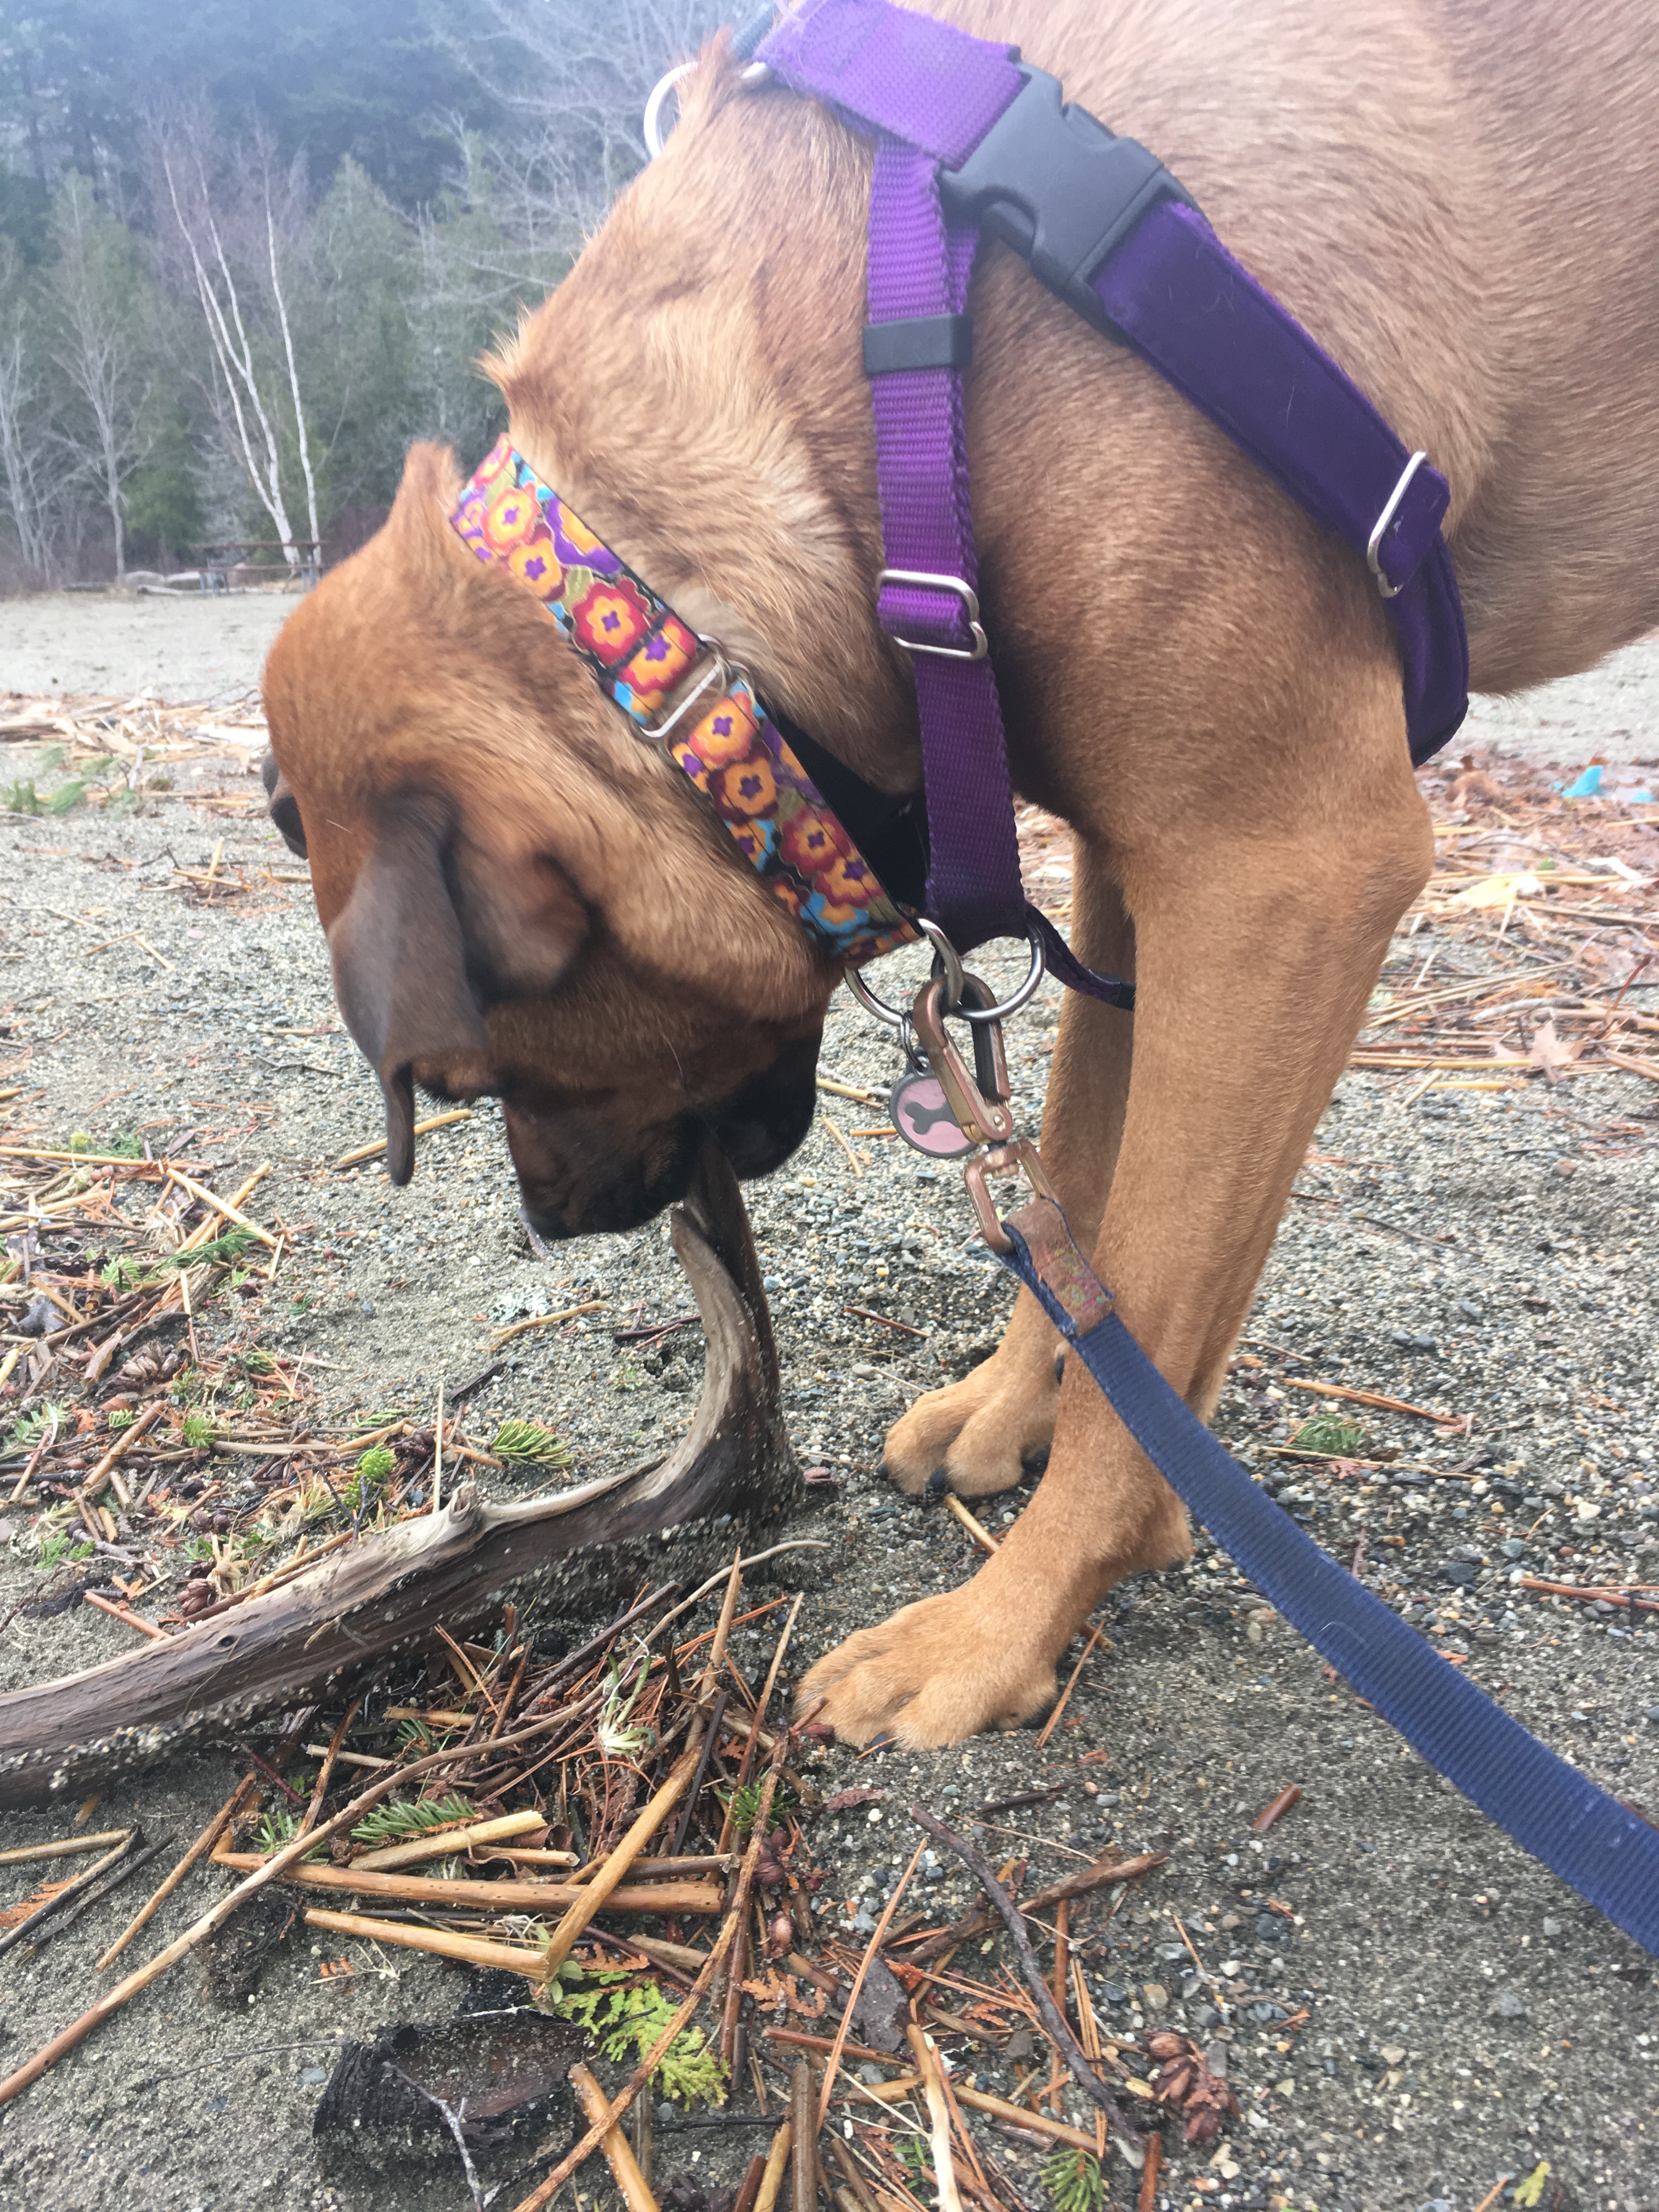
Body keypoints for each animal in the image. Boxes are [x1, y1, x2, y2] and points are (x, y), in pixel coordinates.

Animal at [262, 0, 1659, 1750]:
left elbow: (1146, 1338)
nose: (554, 1221)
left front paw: (1008, 1626)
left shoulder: (1285, 878)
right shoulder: (1140, 878)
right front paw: (1010, 1413)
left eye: (466, 1072)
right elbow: (1077, 1212)